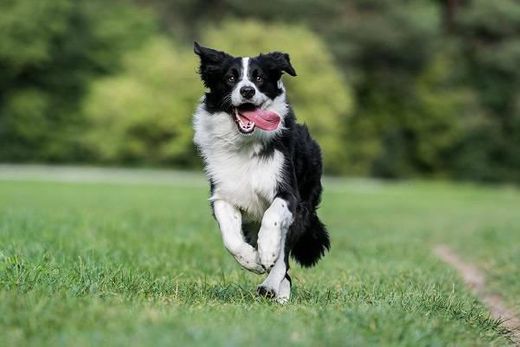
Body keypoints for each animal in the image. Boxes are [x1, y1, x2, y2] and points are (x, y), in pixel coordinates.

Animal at [191, 42, 330, 304]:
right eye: (230, 78)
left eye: (259, 78)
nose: (247, 91)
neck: (245, 144)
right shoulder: (223, 194)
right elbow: (230, 237)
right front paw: (251, 260)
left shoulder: (289, 194)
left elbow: (273, 218)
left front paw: (265, 252)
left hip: (304, 208)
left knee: (284, 258)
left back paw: (272, 287)